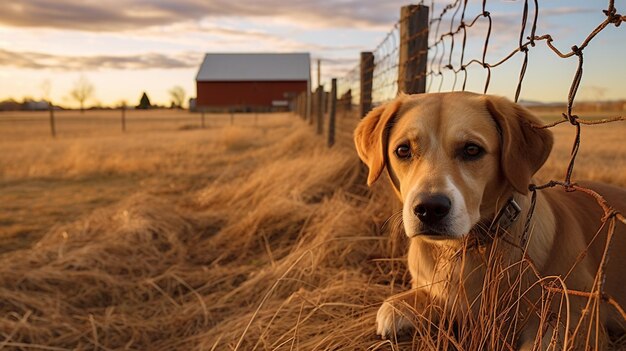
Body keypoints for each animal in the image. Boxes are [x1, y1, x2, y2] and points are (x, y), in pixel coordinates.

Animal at [354, 92, 624, 350]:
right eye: (403, 150)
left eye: (472, 150)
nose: (429, 209)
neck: (463, 250)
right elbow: (409, 301)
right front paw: (401, 307)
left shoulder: (578, 323)